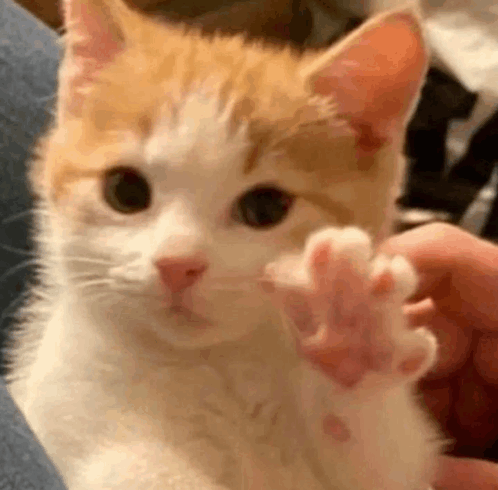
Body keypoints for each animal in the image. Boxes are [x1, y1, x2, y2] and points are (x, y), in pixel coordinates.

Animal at [6, 0, 444, 488]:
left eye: (265, 207)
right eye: (125, 191)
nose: (177, 264)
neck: (212, 364)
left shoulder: (396, 468)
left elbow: (373, 461)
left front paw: (352, 336)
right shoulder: (65, 403)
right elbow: (135, 467)